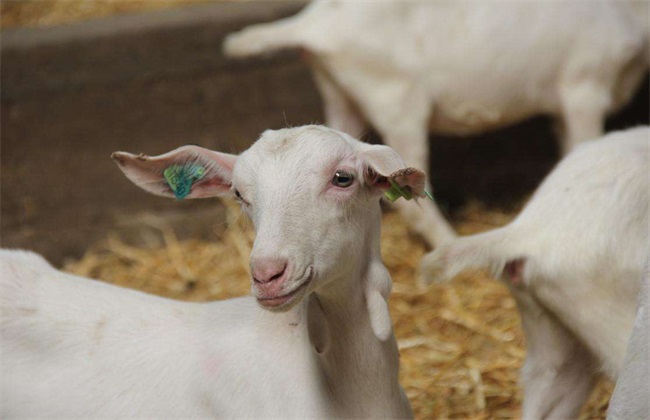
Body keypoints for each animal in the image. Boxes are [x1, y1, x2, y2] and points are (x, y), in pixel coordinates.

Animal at [224, 0, 648, 248]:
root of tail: (314, 23)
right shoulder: (584, 84)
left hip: (339, 92)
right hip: (395, 98)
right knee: (409, 199)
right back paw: (453, 244)